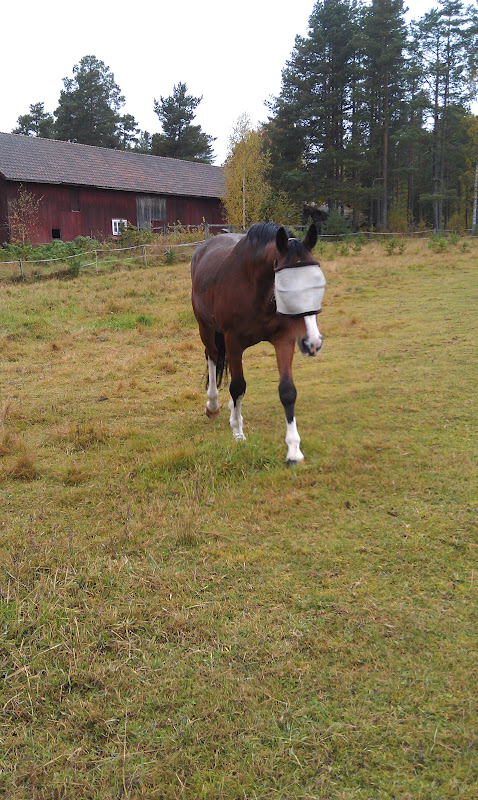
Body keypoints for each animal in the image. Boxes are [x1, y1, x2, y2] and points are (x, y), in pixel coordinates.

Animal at [190, 223, 325, 464]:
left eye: (316, 283)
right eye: (286, 285)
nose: (313, 342)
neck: (257, 290)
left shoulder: (284, 339)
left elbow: (287, 391)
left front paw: (294, 450)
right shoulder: (233, 341)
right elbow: (237, 386)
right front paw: (238, 433)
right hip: (205, 327)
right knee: (212, 356)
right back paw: (213, 406)